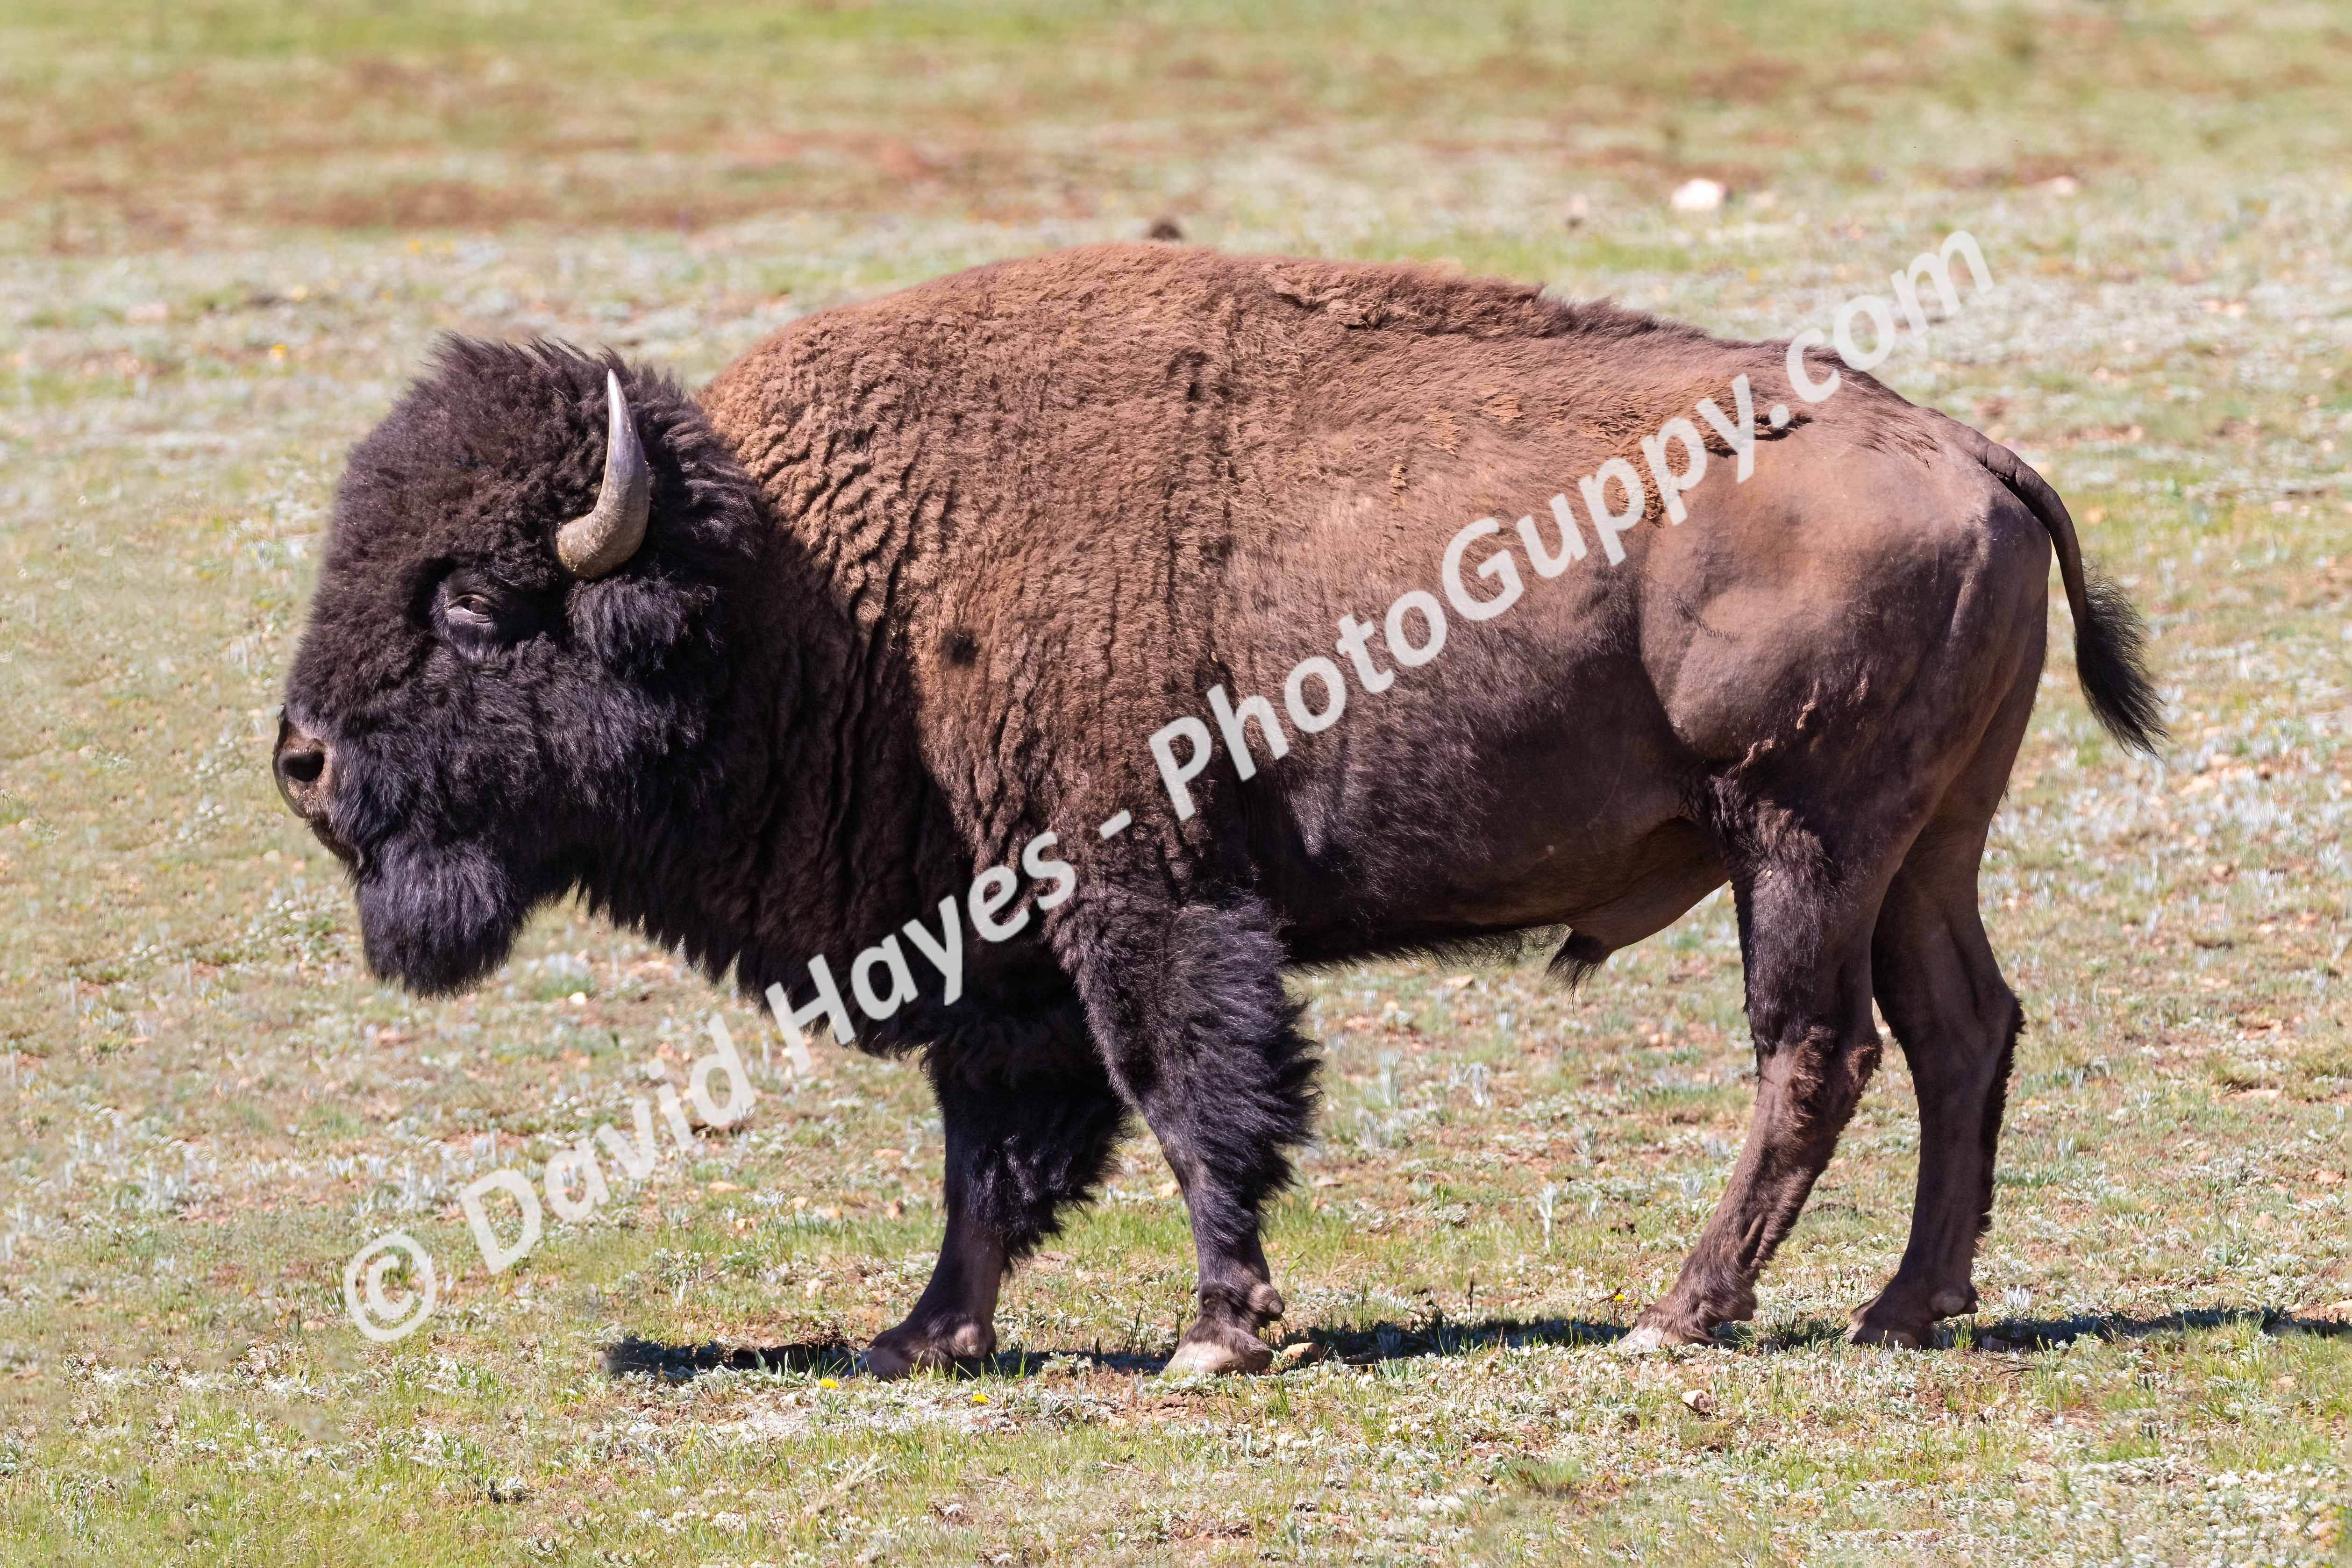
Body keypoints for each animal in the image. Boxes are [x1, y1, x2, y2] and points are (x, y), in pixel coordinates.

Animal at [276, 243, 2161, 1374]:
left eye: (471, 601)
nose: (296, 760)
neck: (819, 585)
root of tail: (1971, 452)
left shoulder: (1141, 901)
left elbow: (1190, 1097)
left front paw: (1219, 1330)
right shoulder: (995, 952)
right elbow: (993, 1153)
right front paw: (922, 1337)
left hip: (1800, 838)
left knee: (1815, 1053)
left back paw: (1681, 1315)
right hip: (1924, 846)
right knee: (1961, 1029)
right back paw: (1903, 1308)